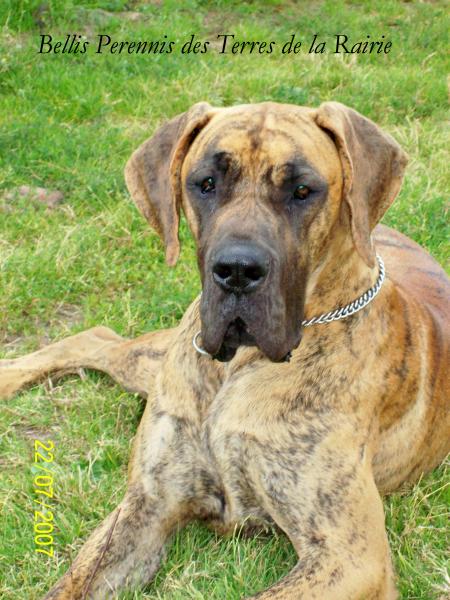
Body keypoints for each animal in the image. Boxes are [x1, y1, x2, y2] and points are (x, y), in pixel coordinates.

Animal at [1, 101, 448, 596]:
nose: (236, 269)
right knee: (94, 339)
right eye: (206, 183)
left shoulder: (350, 555)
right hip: (154, 363)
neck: (239, 366)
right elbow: (70, 584)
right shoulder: (147, 504)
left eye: (303, 190)